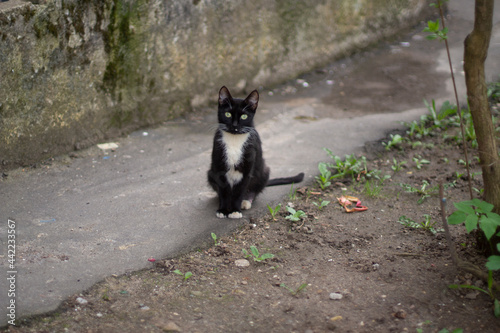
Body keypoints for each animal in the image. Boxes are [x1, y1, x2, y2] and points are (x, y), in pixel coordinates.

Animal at [207, 85, 304, 218]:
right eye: (227, 114)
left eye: (244, 116)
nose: (234, 126)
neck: (234, 140)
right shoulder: (218, 166)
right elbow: (223, 190)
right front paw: (223, 210)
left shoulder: (247, 168)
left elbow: (240, 191)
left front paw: (235, 210)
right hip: (210, 173)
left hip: (263, 171)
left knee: (254, 189)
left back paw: (246, 201)